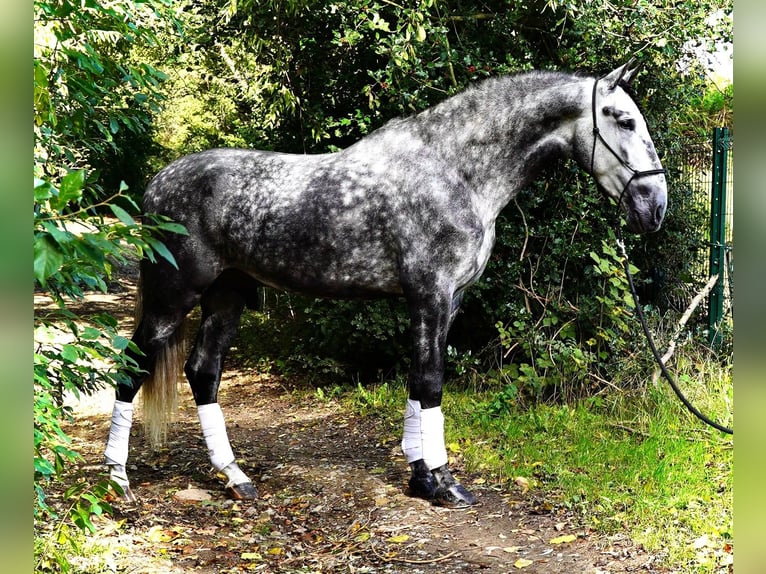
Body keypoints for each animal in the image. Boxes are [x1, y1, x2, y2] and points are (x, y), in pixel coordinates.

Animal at [104, 62, 667, 507]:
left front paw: (421, 477)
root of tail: (157, 184)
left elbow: (417, 384)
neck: (455, 171)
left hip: (228, 295)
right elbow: (431, 383)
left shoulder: (446, 302)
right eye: (623, 119)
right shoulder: (431, 295)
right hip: (172, 296)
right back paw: (118, 481)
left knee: (204, 372)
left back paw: (234, 477)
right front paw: (443, 483)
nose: (656, 206)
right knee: (133, 368)